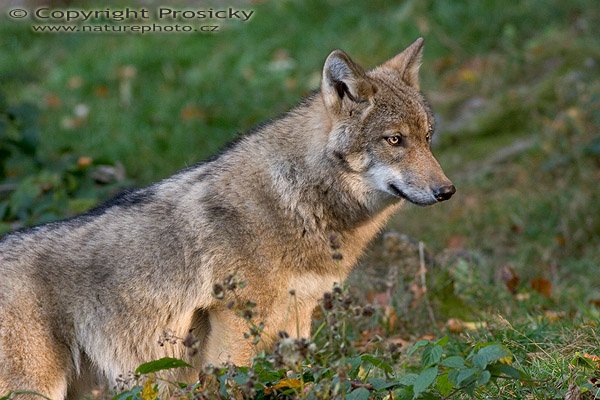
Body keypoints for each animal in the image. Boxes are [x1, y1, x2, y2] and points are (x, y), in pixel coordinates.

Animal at [0, 38, 454, 396]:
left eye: (427, 138)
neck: (297, 201)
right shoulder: (234, 323)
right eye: (394, 140)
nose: (446, 191)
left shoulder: (298, 322)